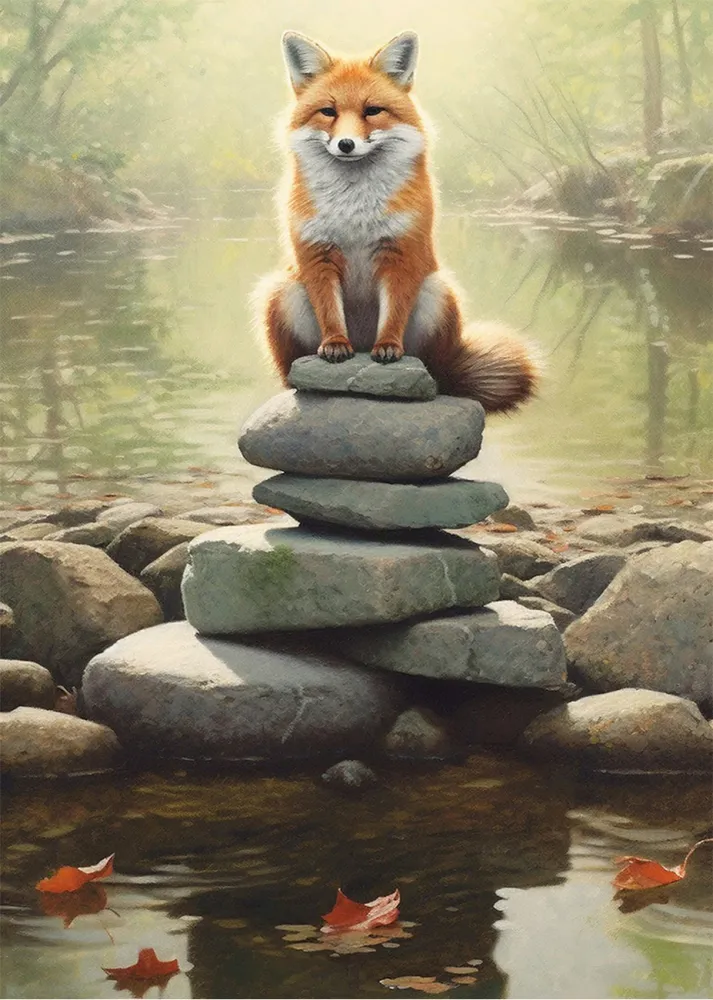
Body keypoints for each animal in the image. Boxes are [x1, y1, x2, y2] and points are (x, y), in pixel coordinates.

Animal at [258, 29, 539, 413]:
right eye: (328, 112)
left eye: (372, 111)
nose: (346, 144)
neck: (355, 205)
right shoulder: (316, 253)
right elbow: (330, 311)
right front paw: (334, 343)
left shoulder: (400, 252)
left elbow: (393, 313)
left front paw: (388, 346)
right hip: (283, 292)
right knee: (290, 375)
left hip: (438, 293)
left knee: (432, 375)